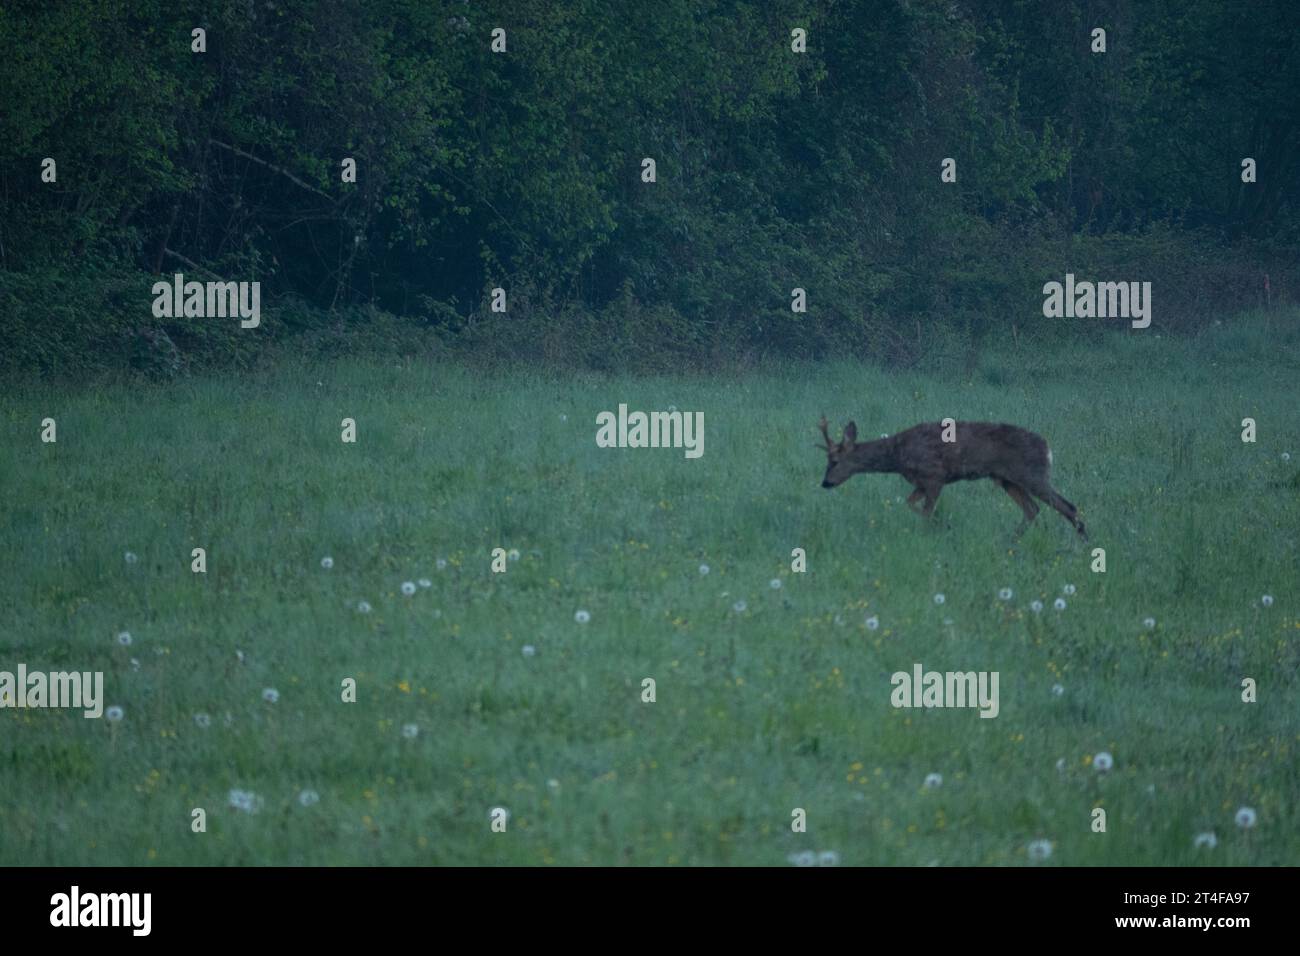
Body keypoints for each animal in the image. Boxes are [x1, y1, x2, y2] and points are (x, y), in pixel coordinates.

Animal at [817, 416, 1087, 539]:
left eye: (834, 461)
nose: (825, 483)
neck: (897, 455)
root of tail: (1047, 448)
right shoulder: (921, 482)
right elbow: (909, 503)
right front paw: (942, 525)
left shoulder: (934, 475)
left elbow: (925, 511)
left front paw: (937, 527)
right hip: (1007, 479)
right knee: (1032, 509)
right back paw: (1010, 539)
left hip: (1033, 474)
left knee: (1068, 507)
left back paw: (1082, 542)